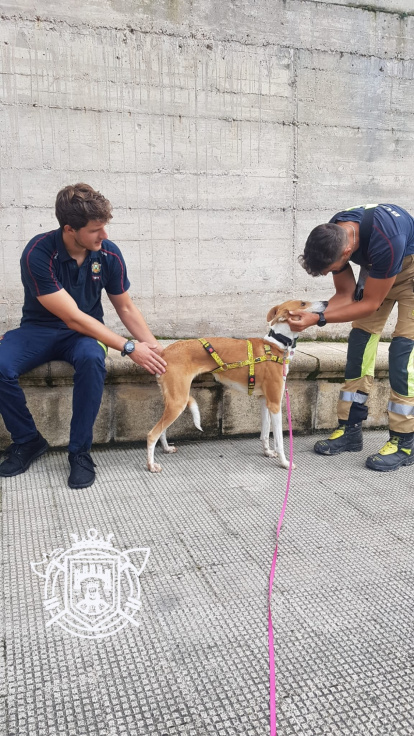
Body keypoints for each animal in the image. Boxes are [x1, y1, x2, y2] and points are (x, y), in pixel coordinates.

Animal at [146, 300, 326, 472]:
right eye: (303, 303)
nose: (326, 302)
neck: (277, 345)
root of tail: (164, 353)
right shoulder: (275, 403)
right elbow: (279, 441)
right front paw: (285, 463)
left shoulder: (264, 400)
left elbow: (265, 433)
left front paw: (267, 452)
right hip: (178, 402)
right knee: (152, 434)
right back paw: (151, 465)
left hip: (173, 400)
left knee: (162, 429)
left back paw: (166, 448)